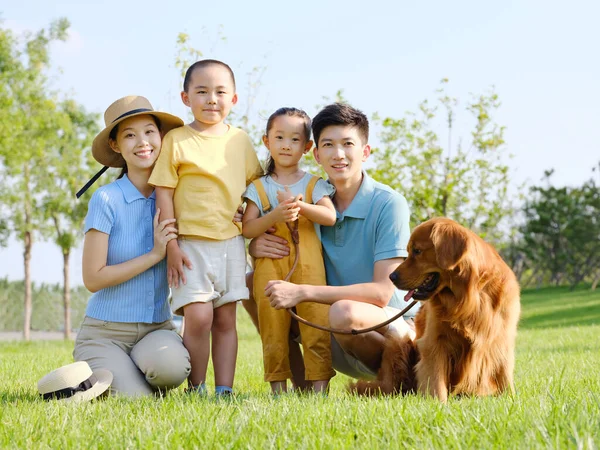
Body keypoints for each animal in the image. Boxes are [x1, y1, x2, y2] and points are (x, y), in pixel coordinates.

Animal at [352, 216, 520, 402]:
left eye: (417, 251)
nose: (391, 277)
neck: (466, 298)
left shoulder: (502, 338)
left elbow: (504, 373)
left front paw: (511, 399)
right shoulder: (434, 340)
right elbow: (435, 379)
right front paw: (438, 403)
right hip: (399, 344)